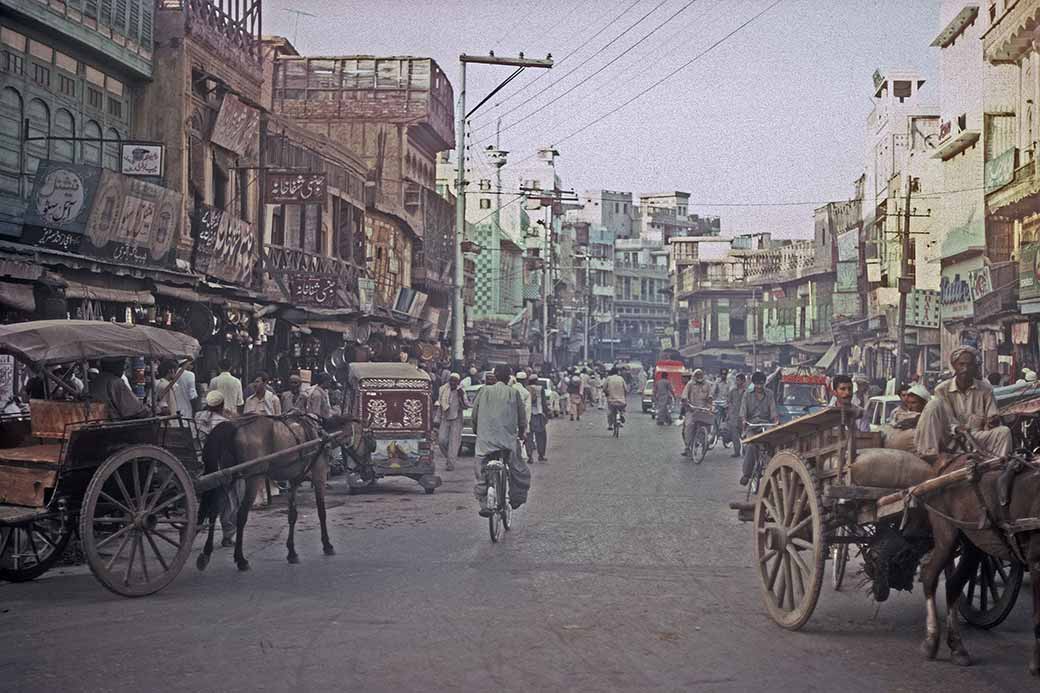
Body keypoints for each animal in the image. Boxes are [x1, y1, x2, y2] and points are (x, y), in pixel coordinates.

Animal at [195, 412, 370, 570]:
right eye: (369, 441)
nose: (368, 471)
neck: (323, 434)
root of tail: (233, 426)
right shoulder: (319, 475)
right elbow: (322, 512)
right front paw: (327, 545)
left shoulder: (294, 480)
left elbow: (292, 515)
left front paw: (292, 552)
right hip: (253, 478)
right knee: (241, 515)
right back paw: (241, 559)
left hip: (226, 476)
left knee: (214, 509)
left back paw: (206, 554)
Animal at [919, 451, 1040, 670]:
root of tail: (948, 462)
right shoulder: (1036, 563)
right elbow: (1038, 617)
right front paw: (1036, 664)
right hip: (946, 535)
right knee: (929, 576)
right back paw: (931, 642)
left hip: (973, 544)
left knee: (953, 585)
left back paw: (957, 648)